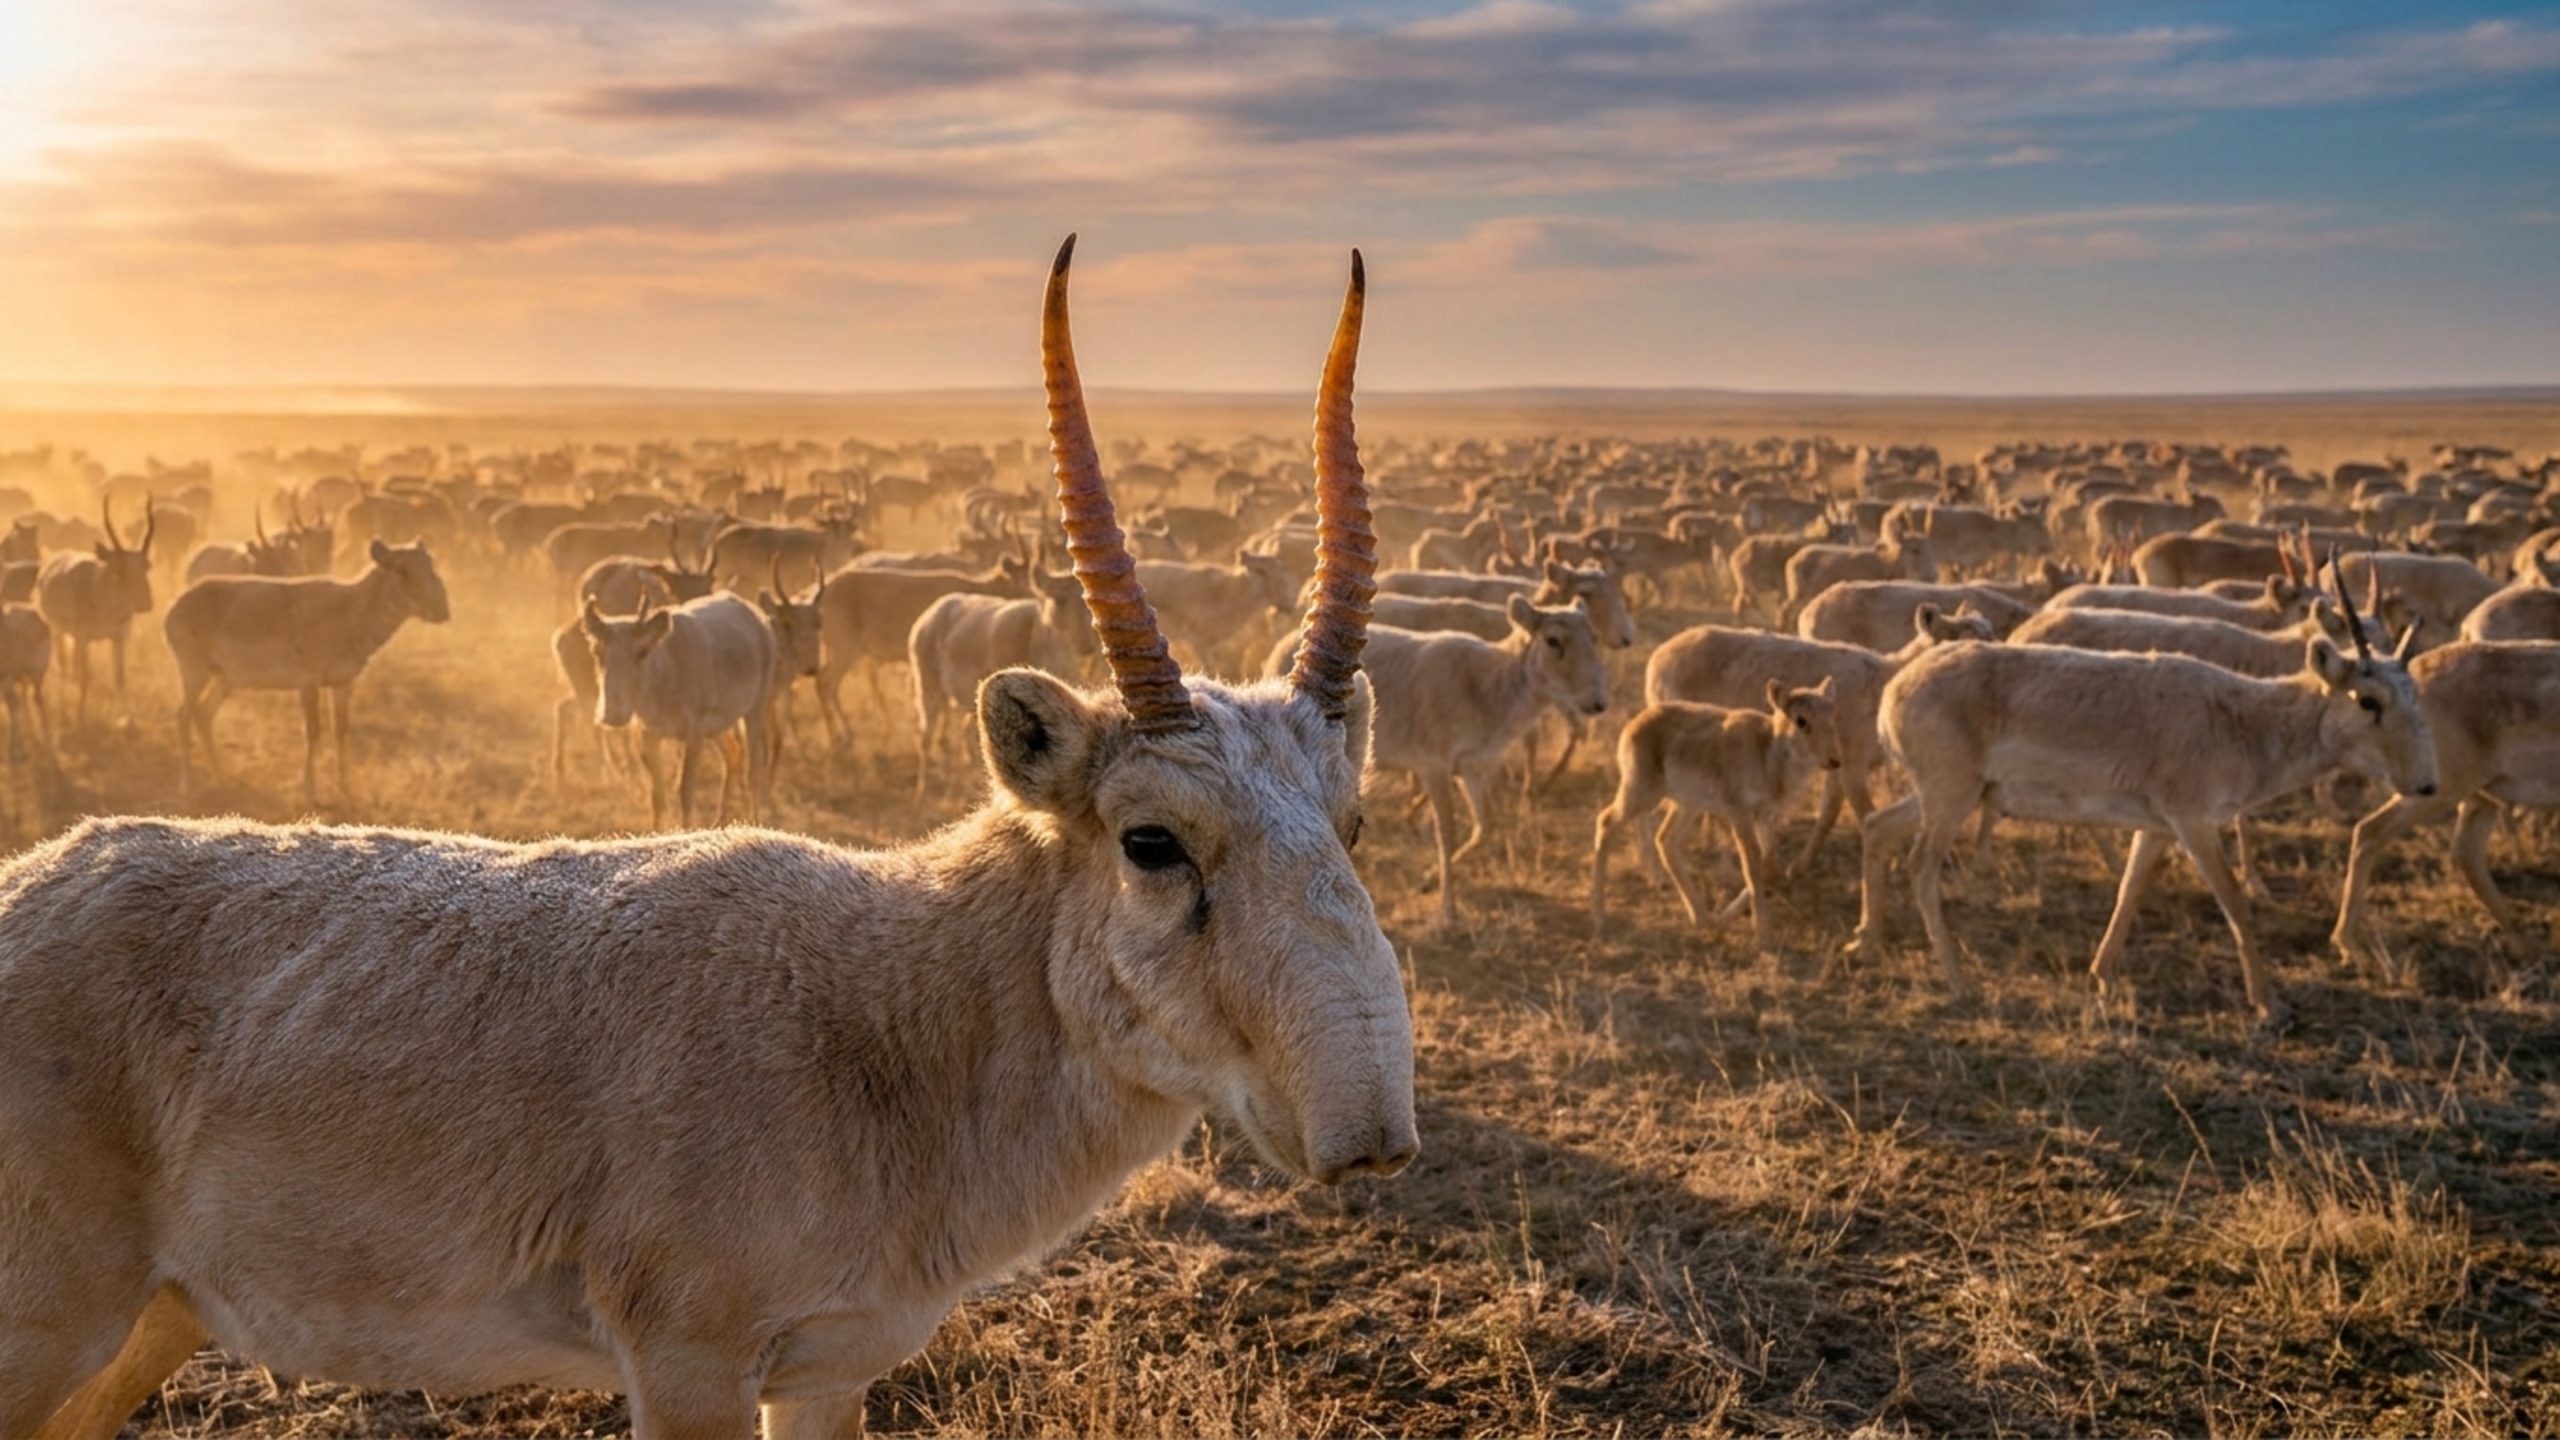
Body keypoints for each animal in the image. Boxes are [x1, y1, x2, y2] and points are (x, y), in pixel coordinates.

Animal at [34, 500, 156, 723]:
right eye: (119, 569)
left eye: (147, 565)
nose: (146, 604)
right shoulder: (83, 637)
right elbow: (86, 678)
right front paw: (80, 718)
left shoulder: (118, 638)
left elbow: (120, 678)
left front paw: (129, 721)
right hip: (57, 631)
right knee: (64, 667)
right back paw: (64, 713)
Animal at [163, 540, 453, 801]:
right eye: (402, 569)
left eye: (431, 564)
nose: (442, 610)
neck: (350, 615)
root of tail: (171, 611)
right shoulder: (308, 681)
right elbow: (313, 732)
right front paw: (310, 790)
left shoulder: (343, 682)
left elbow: (341, 731)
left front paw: (345, 789)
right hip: (193, 668)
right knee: (183, 713)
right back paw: (187, 785)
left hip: (227, 678)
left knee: (203, 712)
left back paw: (222, 778)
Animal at [1590, 678, 1844, 955]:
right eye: (1801, 720)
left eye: (1832, 713)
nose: (1834, 760)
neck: (1768, 752)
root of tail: (1633, 723)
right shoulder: (1740, 815)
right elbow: (1752, 867)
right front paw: (1763, 938)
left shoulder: (1767, 818)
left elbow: (1771, 870)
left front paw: (1725, 918)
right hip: (1641, 794)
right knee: (1605, 821)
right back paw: (1599, 917)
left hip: (1687, 805)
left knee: (1665, 840)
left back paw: (1703, 919)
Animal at [1865, 568, 2434, 1021]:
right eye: (2367, 699)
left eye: (2414, 695)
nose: (2427, 785)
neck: (2241, 721)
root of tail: (1896, 688)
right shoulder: (2194, 823)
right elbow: (2234, 899)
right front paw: (2270, 1005)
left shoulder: (2157, 829)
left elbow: (2129, 890)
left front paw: (2100, 978)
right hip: (1951, 797)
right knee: (1920, 866)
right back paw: (1960, 981)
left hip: (1941, 795)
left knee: (1877, 828)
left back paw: (1865, 938)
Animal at [2332, 641, 2560, 975]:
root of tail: (2413, 672)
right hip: (2440, 792)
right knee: (2369, 830)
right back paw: (2347, 945)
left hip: (2479, 797)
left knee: (2466, 852)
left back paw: (2527, 946)